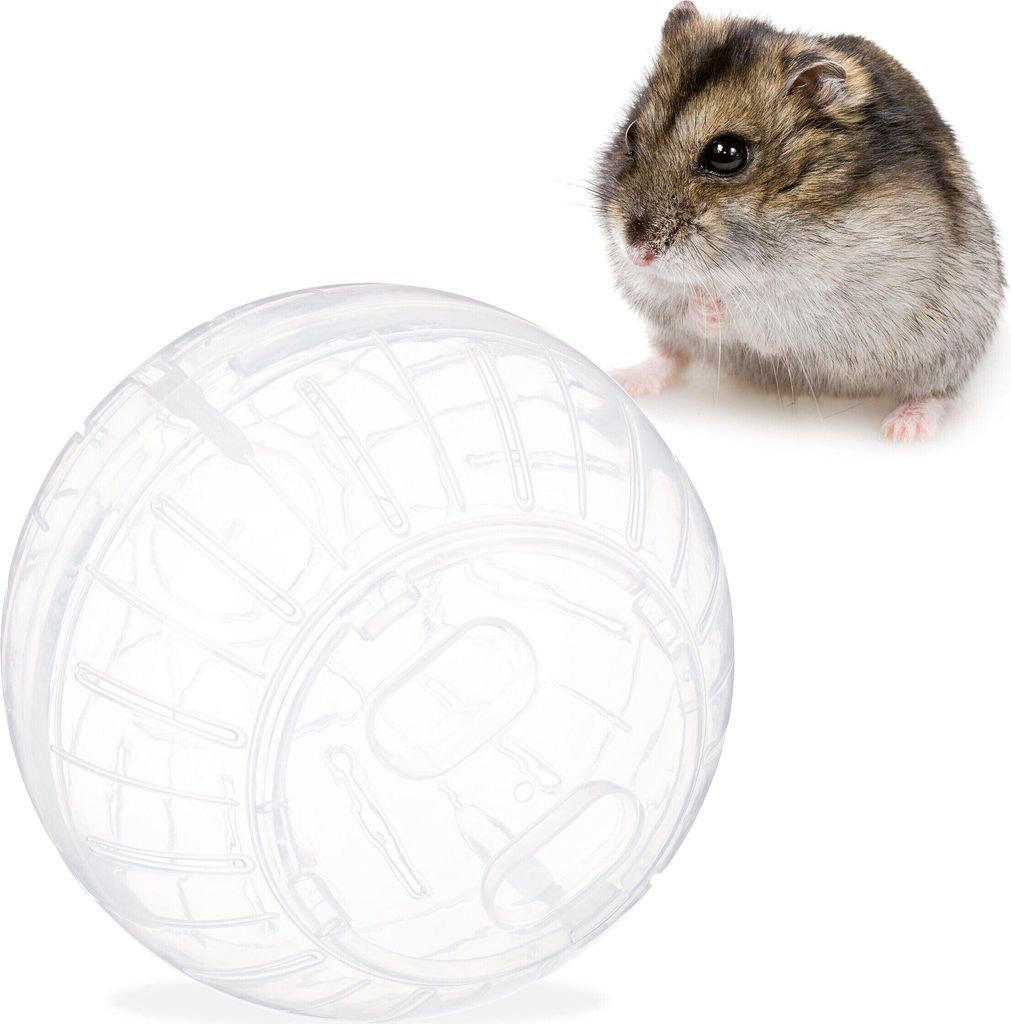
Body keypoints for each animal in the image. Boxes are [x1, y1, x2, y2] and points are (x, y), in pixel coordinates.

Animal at [595, 3, 1004, 440]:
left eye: (726, 153)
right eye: (630, 135)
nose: (638, 253)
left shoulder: (818, 302)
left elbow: (748, 311)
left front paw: (712, 304)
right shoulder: (643, 284)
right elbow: (671, 297)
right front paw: (696, 298)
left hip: (950, 346)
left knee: (937, 392)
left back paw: (904, 429)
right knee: (672, 353)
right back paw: (625, 380)